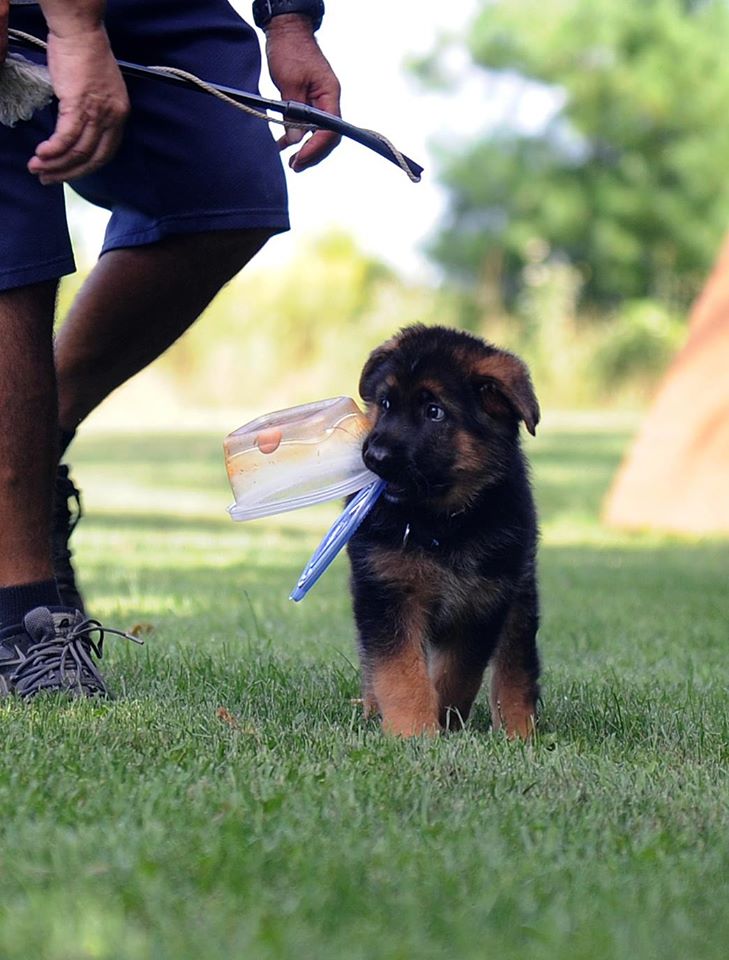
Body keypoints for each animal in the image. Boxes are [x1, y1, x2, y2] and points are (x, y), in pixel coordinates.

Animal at [346, 324, 541, 738]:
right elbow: (400, 674)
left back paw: (518, 731)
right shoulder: (387, 593)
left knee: (515, 665)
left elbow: (457, 675)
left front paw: (443, 723)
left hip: (519, 595)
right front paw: (413, 732)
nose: (373, 457)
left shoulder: (482, 604)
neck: (442, 523)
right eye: (385, 404)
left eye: (434, 412)